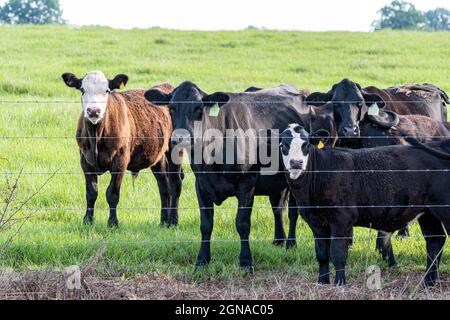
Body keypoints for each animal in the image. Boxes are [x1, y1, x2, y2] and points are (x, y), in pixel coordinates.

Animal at [146, 82, 312, 270]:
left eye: (199, 108)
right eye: (171, 108)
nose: (181, 138)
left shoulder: (247, 184)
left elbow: (242, 223)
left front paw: (246, 261)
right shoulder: (201, 185)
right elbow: (206, 225)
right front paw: (202, 260)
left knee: (292, 212)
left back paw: (290, 243)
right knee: (277, 208)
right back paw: (278, 240)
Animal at [282, 124, 450, 286]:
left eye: (306, 144)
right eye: (283, 144)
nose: (296, 163)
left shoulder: (341, 220)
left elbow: (338, 254)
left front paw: (340, 283)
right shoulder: (316, 222)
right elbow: (322, 254)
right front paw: (322, 282)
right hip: (428, 213)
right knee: (435, 241)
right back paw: (428, 282)